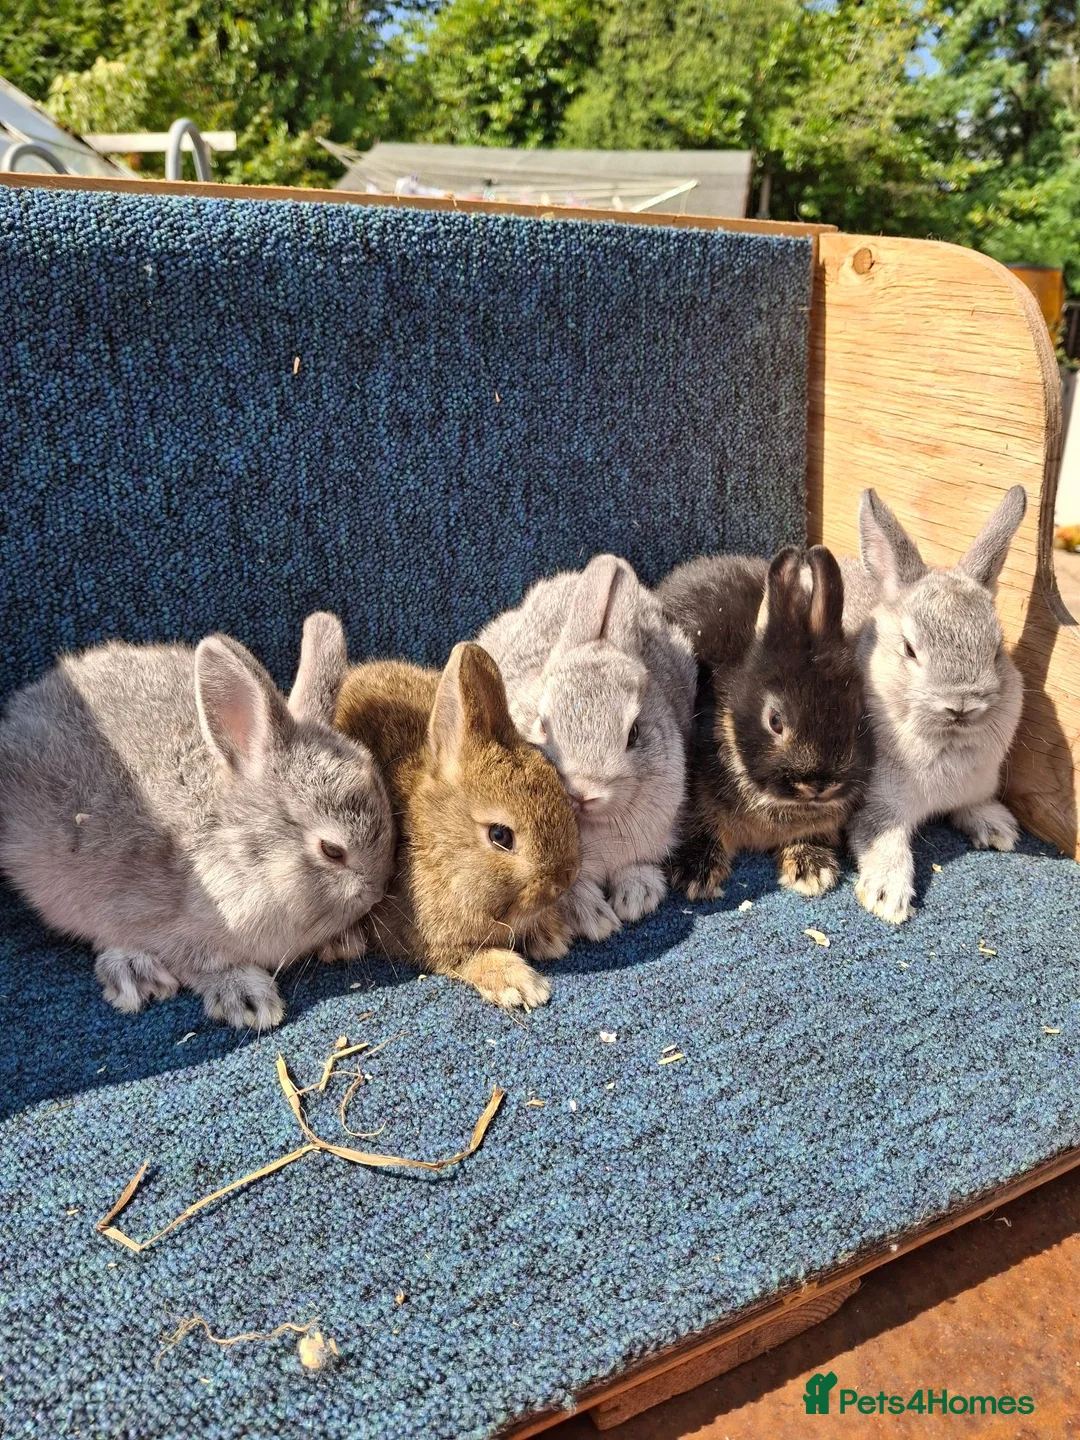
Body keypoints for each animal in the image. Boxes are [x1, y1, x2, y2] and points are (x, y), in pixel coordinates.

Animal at [0, 613, 394, 1029]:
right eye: (332, 850)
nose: (377, 891)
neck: (238, 852)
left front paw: (342, 942)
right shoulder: (155, 920)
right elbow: (198, 963)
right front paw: (248, 998)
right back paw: (134, 972)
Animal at [332, 641, 580, 1010]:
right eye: (499, 835)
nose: (563, 882)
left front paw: (552, 935)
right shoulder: (424, 936)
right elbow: (469, 958)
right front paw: (521, 984)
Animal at [476, 554, 696, 944]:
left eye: (634, 733)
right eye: (542, 724)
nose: (582, 792)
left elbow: (636, 865)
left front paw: (635, 898)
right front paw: (596, 919)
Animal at [841, 486, 1027, 924]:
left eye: (997, 650)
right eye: (909, 650)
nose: (961, 705)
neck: (947, 743)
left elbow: (974, 806)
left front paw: (999, 830)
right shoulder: (877, 808)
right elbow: (884, 841)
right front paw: (888, 898)